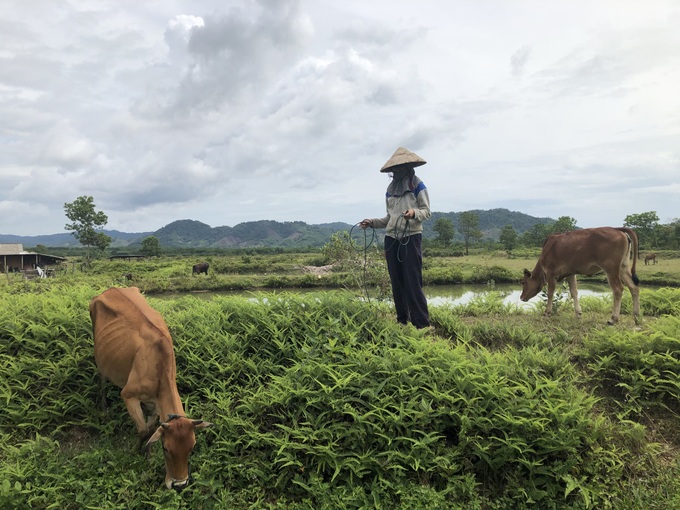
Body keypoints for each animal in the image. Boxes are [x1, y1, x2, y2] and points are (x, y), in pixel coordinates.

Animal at [90, 286, 211, 490]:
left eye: (192, 447)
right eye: (166, 448)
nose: (180, 484)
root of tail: (110, 289)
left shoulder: (156, 403)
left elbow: (152, 426)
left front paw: (148, 454)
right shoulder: (128, 395)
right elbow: (144, 431)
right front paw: (136, 451)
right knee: (102, 377)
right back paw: (104, 408)